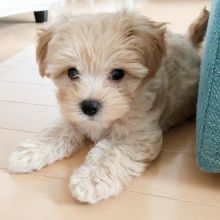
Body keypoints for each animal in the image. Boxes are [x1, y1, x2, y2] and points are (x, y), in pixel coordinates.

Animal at [8, 9, 208, 205]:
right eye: (72, 72)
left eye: (118, 73)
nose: (89, 106)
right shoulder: (72, 117)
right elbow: (54, 133)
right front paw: (26, 154)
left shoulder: (137, 135)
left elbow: (111, 153)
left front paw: (91, 180)